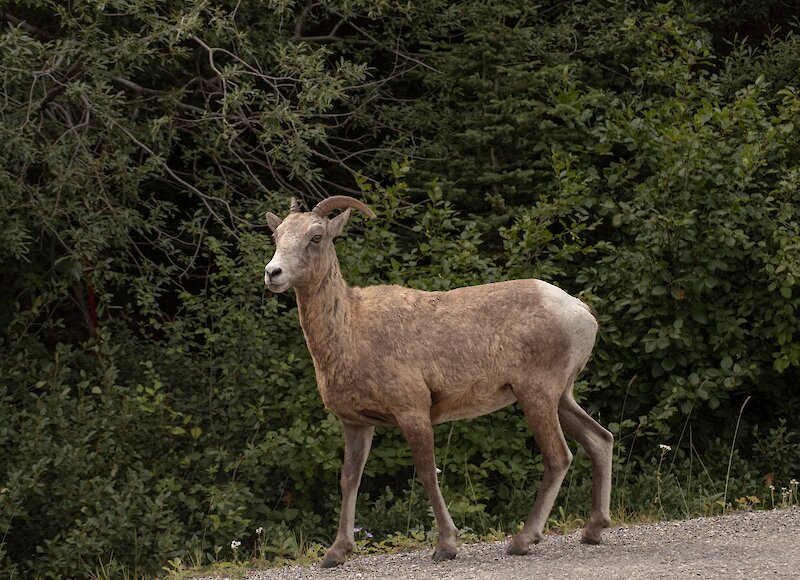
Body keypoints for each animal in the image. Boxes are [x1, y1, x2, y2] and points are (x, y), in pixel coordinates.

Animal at [264, 197, 612, 568]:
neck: (351, 330)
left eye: (316, 237)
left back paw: (522, 540)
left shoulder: (413, 411)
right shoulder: (356, 423)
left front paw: (446, 545)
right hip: (562, 396)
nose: (273, 273)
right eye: (277, 235)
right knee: (600, 439)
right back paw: (593, 530)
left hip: (537, 394)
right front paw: (336, 553)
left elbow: (427, 474)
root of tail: (582, 312)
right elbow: (349, 480)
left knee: (559, 456)